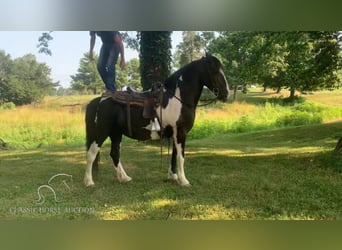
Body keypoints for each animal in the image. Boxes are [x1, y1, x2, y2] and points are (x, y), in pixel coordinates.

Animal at [83, 54, 228, 188]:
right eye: (215, 70)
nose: (226, 94)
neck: (177, 98)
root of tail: (97, 101)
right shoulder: (181, 133)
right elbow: (181, 157)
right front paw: (184, 181)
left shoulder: (175, 134)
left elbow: (174, 155)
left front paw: (173, 176)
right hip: (100, 133)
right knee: (91, 154)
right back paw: (89, 182)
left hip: (116, 134)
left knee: (115, 154)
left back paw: (124, 178)